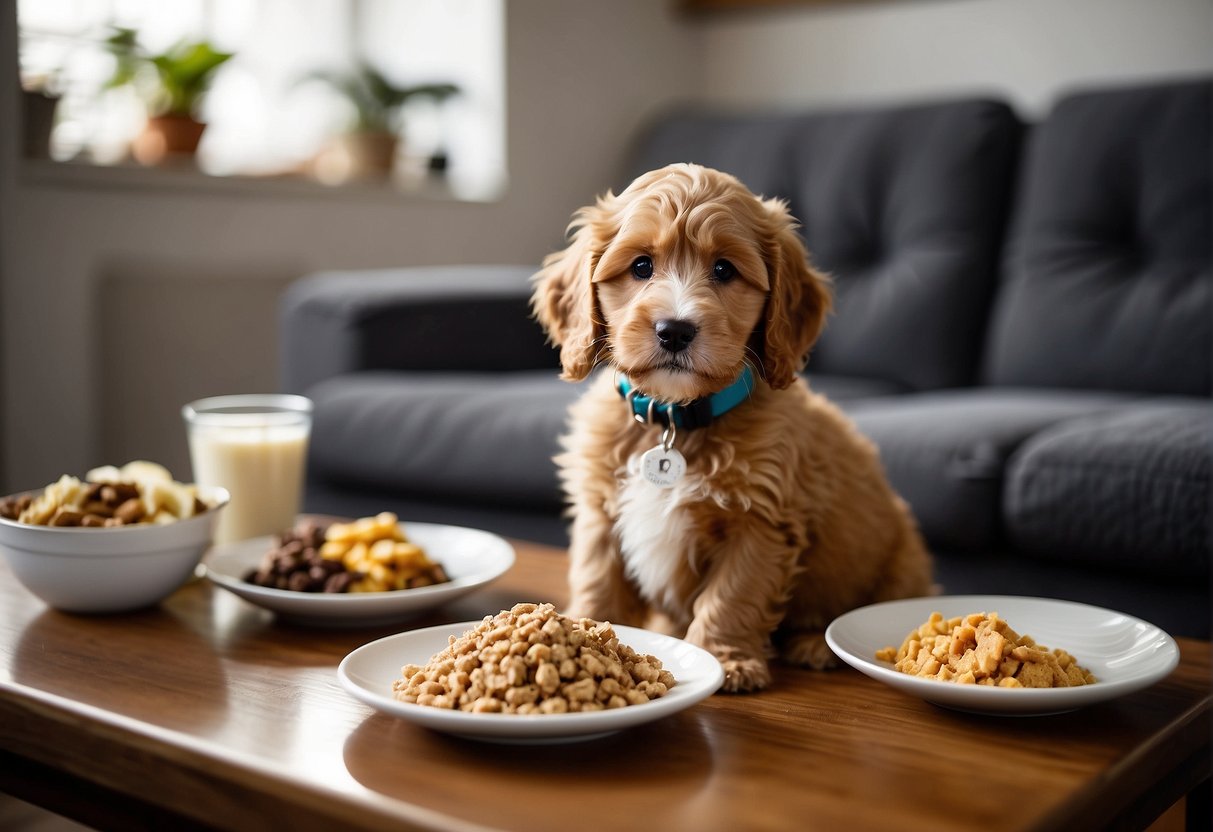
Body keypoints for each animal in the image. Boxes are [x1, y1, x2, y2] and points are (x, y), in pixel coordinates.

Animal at [526, 161, 931, 688]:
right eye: (641, 266)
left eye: (724, 270)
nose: (675, 330)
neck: (674, 419)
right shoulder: (599, 512)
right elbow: (598, 580)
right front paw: (587, 630)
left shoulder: (760, 521)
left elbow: (733, 594)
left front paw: (724, 659)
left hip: (898, 562)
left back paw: (813, 645)